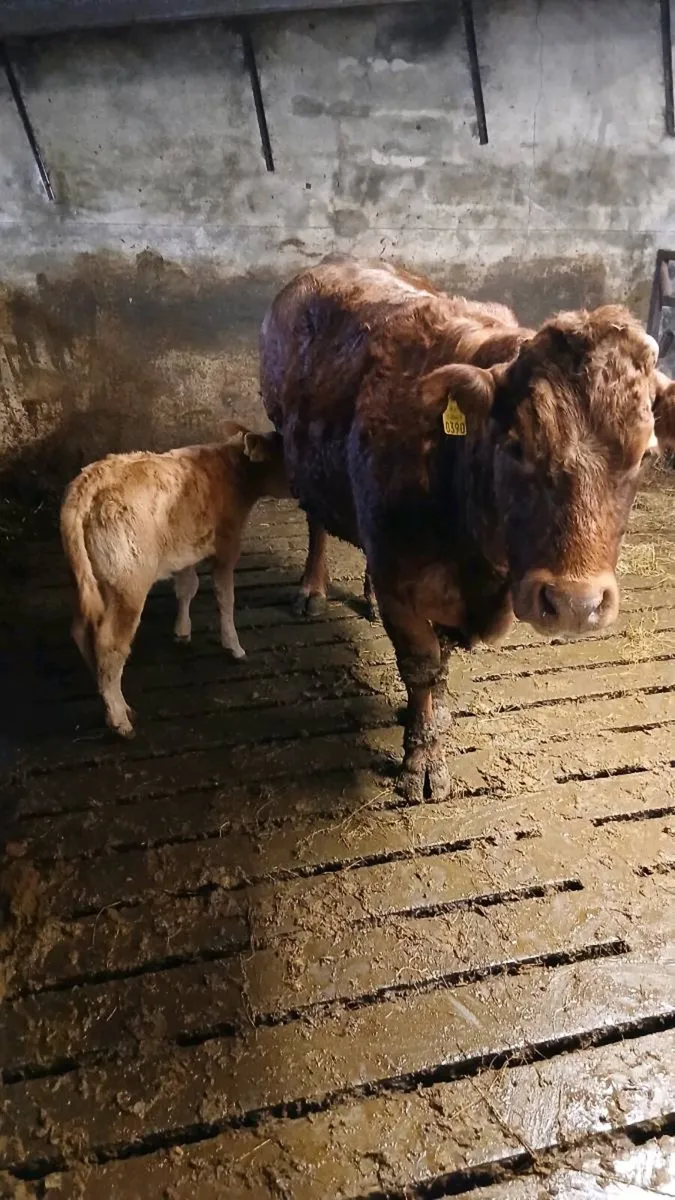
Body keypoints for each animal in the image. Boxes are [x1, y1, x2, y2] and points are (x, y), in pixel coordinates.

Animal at [60, 424, 288, 737]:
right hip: (128, 582)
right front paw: (234, 646)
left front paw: (182, 631)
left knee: (81, 630)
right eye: (283, 457)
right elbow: (225, 598)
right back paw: (119, 719)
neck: (233, 470)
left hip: (92, 582)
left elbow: (187, 588)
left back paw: (108, 699)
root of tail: (89, 481)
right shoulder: (227, 548)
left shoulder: (185, 548)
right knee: (110, 643)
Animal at [261, 256, 666, 802]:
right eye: (515, 444)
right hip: (289, 441)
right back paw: (311, 587)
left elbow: (442, 664)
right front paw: (422, 760)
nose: (574, 604)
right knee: (316, 520)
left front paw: (434, 716)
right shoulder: (401, 580)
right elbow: (421, 664)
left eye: (646, 454)